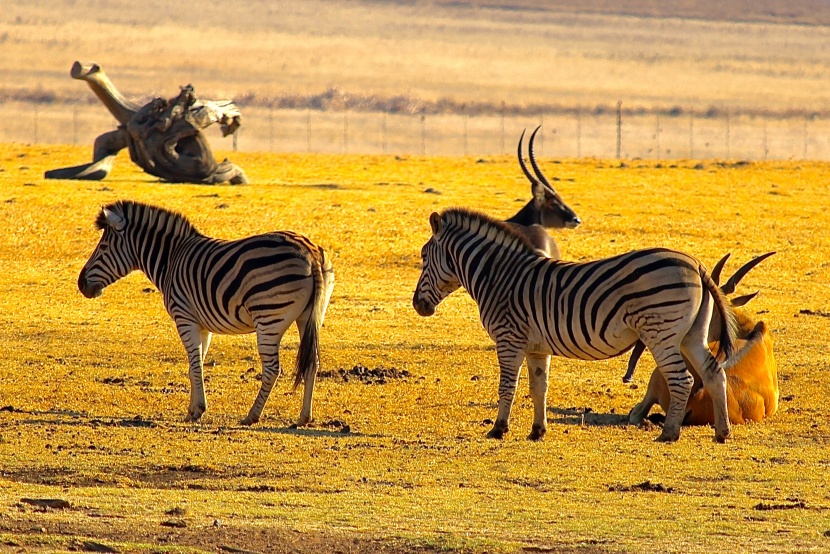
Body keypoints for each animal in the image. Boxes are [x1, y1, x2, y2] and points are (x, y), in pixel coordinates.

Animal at [77, 201, 334, 424]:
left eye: (103, 247)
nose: (81, 284)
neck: (170, 259)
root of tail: (310, 253)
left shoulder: (184, 317)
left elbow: (194, 364)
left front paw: (197, 410)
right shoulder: (202, 325)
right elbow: (196, 365)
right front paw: (193, 408)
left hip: (268, 317)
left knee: (272, 369)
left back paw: (252, 415)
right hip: (310, 317)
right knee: (312, 362)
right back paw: (304, 417)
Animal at [412, 206, 736, 440]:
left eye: (424, 256)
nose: (417, 305)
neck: (499, 277)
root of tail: (695, 263)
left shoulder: (508, 339)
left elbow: (507, 386)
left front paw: (498, 430)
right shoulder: (536, 347)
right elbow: (538, 387)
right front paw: (537, 432)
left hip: (661, 333)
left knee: (683, 380)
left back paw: (669, 434)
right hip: (692, 335)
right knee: (713, 372)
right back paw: (722, 432)